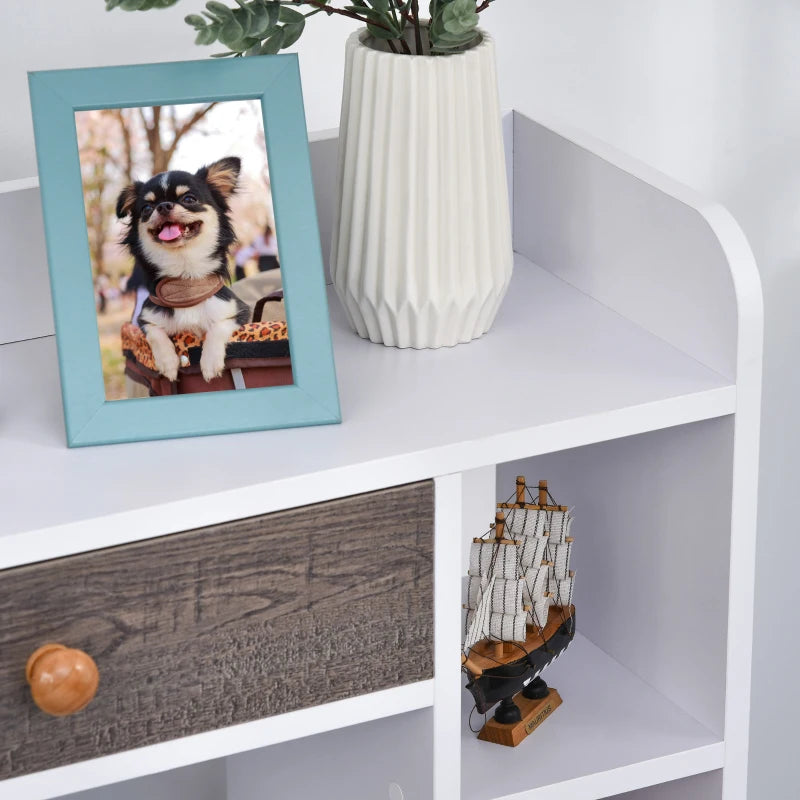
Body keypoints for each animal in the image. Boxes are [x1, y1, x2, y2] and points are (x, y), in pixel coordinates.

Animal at [115, 159, 250, 384]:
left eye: (189, 199)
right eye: (147, 208)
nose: (163, 206)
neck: (185, 280)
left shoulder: (239, 312)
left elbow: (218, 326)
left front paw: (210, 362)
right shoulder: (145, 319)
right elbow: (155, 334)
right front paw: (168, 363)